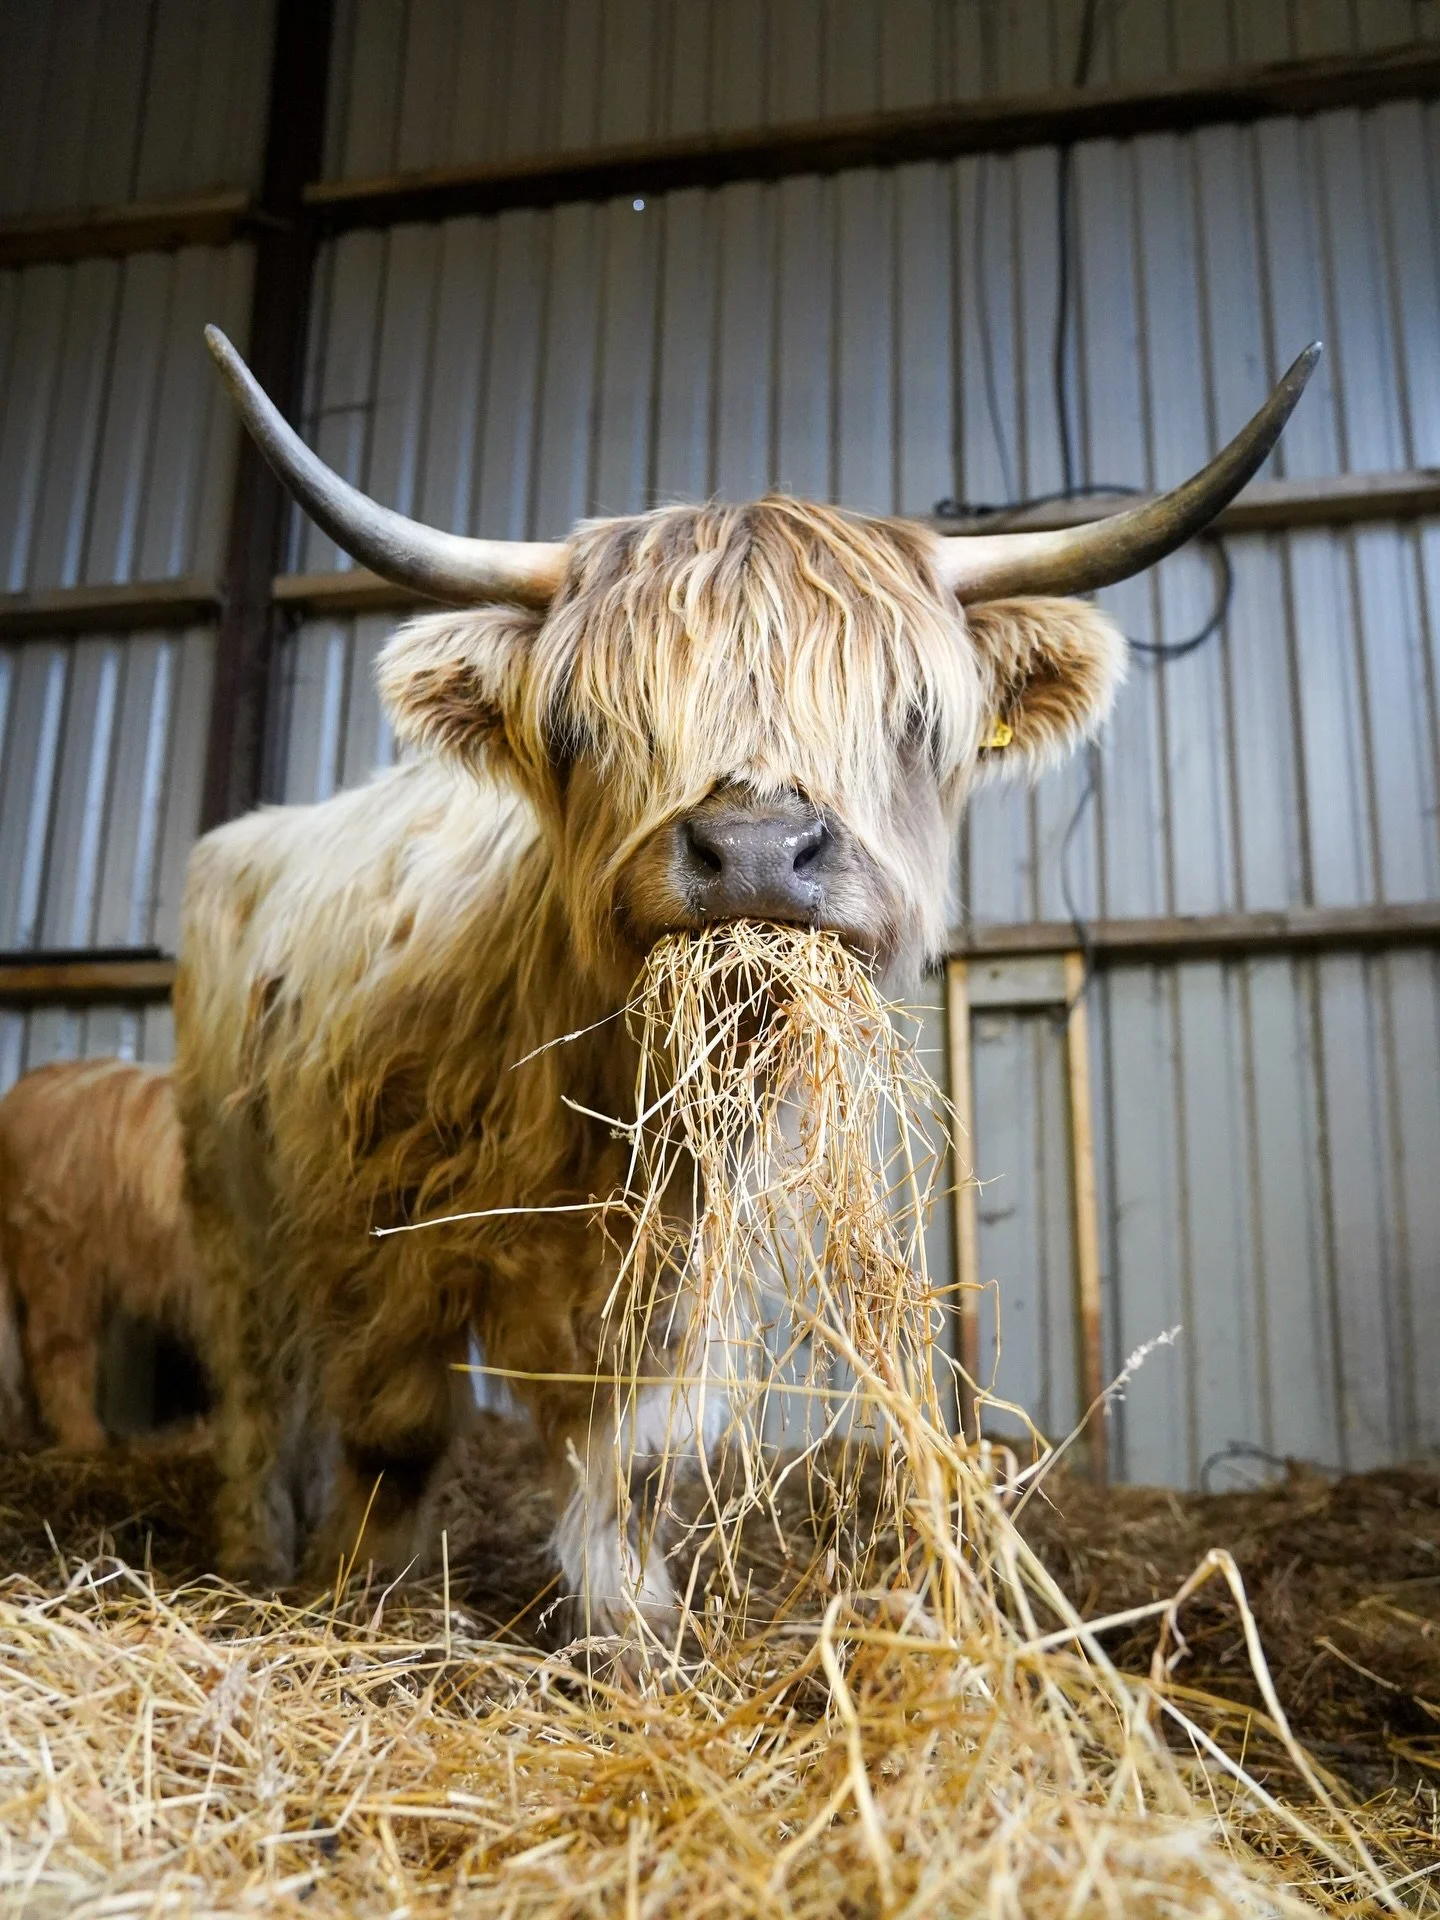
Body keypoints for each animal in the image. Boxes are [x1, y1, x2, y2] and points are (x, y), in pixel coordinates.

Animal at [178, 327, 1317, 1637]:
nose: (760, 849)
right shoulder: (378, 1232)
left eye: (912, 719)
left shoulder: (680, 1266)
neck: (589, 1094)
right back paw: (255, 1546)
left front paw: (633, 1631)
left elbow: (641, 1459)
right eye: (579, 725)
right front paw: (359, 1599)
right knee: (256, 1380)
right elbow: (395, 1429)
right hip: (231, 1200)